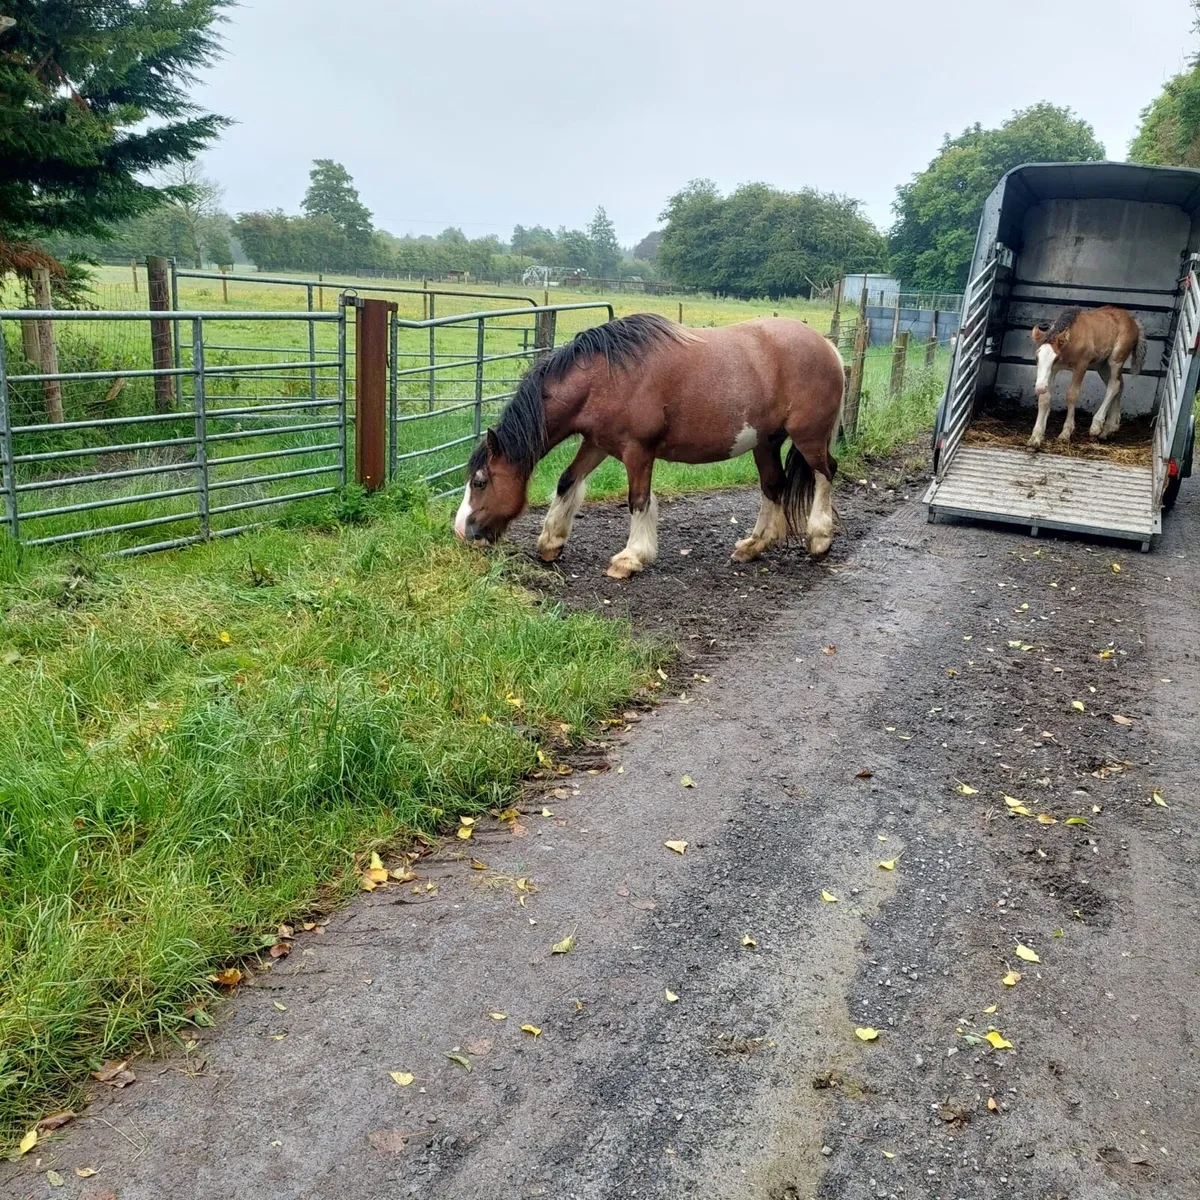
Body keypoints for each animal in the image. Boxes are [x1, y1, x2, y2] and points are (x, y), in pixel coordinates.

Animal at [453, 313, 845, 578]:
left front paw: (630, 558)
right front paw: (551, 542)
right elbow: (567, 481)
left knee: (825, 473)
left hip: (809, 438)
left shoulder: (637, 451)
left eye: (480, 481)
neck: (605, 378)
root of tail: (829, 348)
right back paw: (753, 546)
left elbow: (638, 500)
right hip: (766, 442)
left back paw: (819, 540)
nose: (461, 532)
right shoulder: (597, 444)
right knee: (773, 487)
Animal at [1029, 305, 1147, 447]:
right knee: (1120, 384)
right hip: (1101, 365)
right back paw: (1109, 429)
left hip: (1116, 359)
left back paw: (1096, 427)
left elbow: (1072, 395)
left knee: (1114, 385)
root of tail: (1134, 321)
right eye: (1037, 357)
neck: (1072, 339)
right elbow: (1044, 398)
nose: (1039, 387)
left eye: (1055, 358)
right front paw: (1035, 437)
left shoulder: (1081, 365)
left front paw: (1065, 433)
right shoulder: (1054, 370)